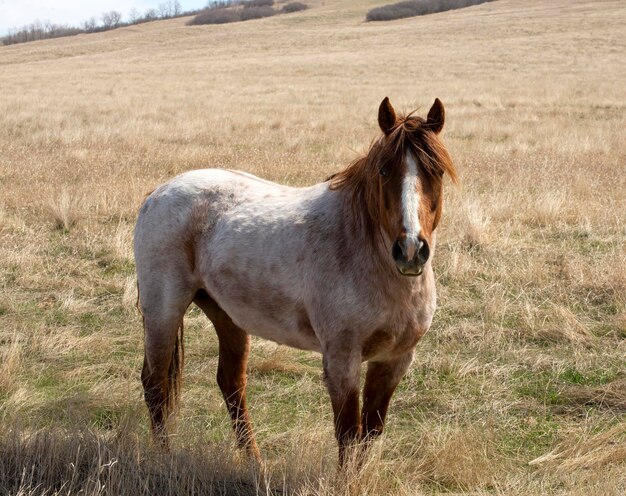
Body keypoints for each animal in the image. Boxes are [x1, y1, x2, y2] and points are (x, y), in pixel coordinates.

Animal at [134, 98, 456, 464]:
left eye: (437, 172)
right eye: (384, 171)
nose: (411, 250)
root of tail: (158, 193)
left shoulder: (394, 361)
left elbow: (369, 435)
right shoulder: (342, 361)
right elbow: (348, 436)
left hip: (226, 315)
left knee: (231, 383)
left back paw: (255, 465)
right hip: (164, 311)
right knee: (155, 382)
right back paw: (164, 458)